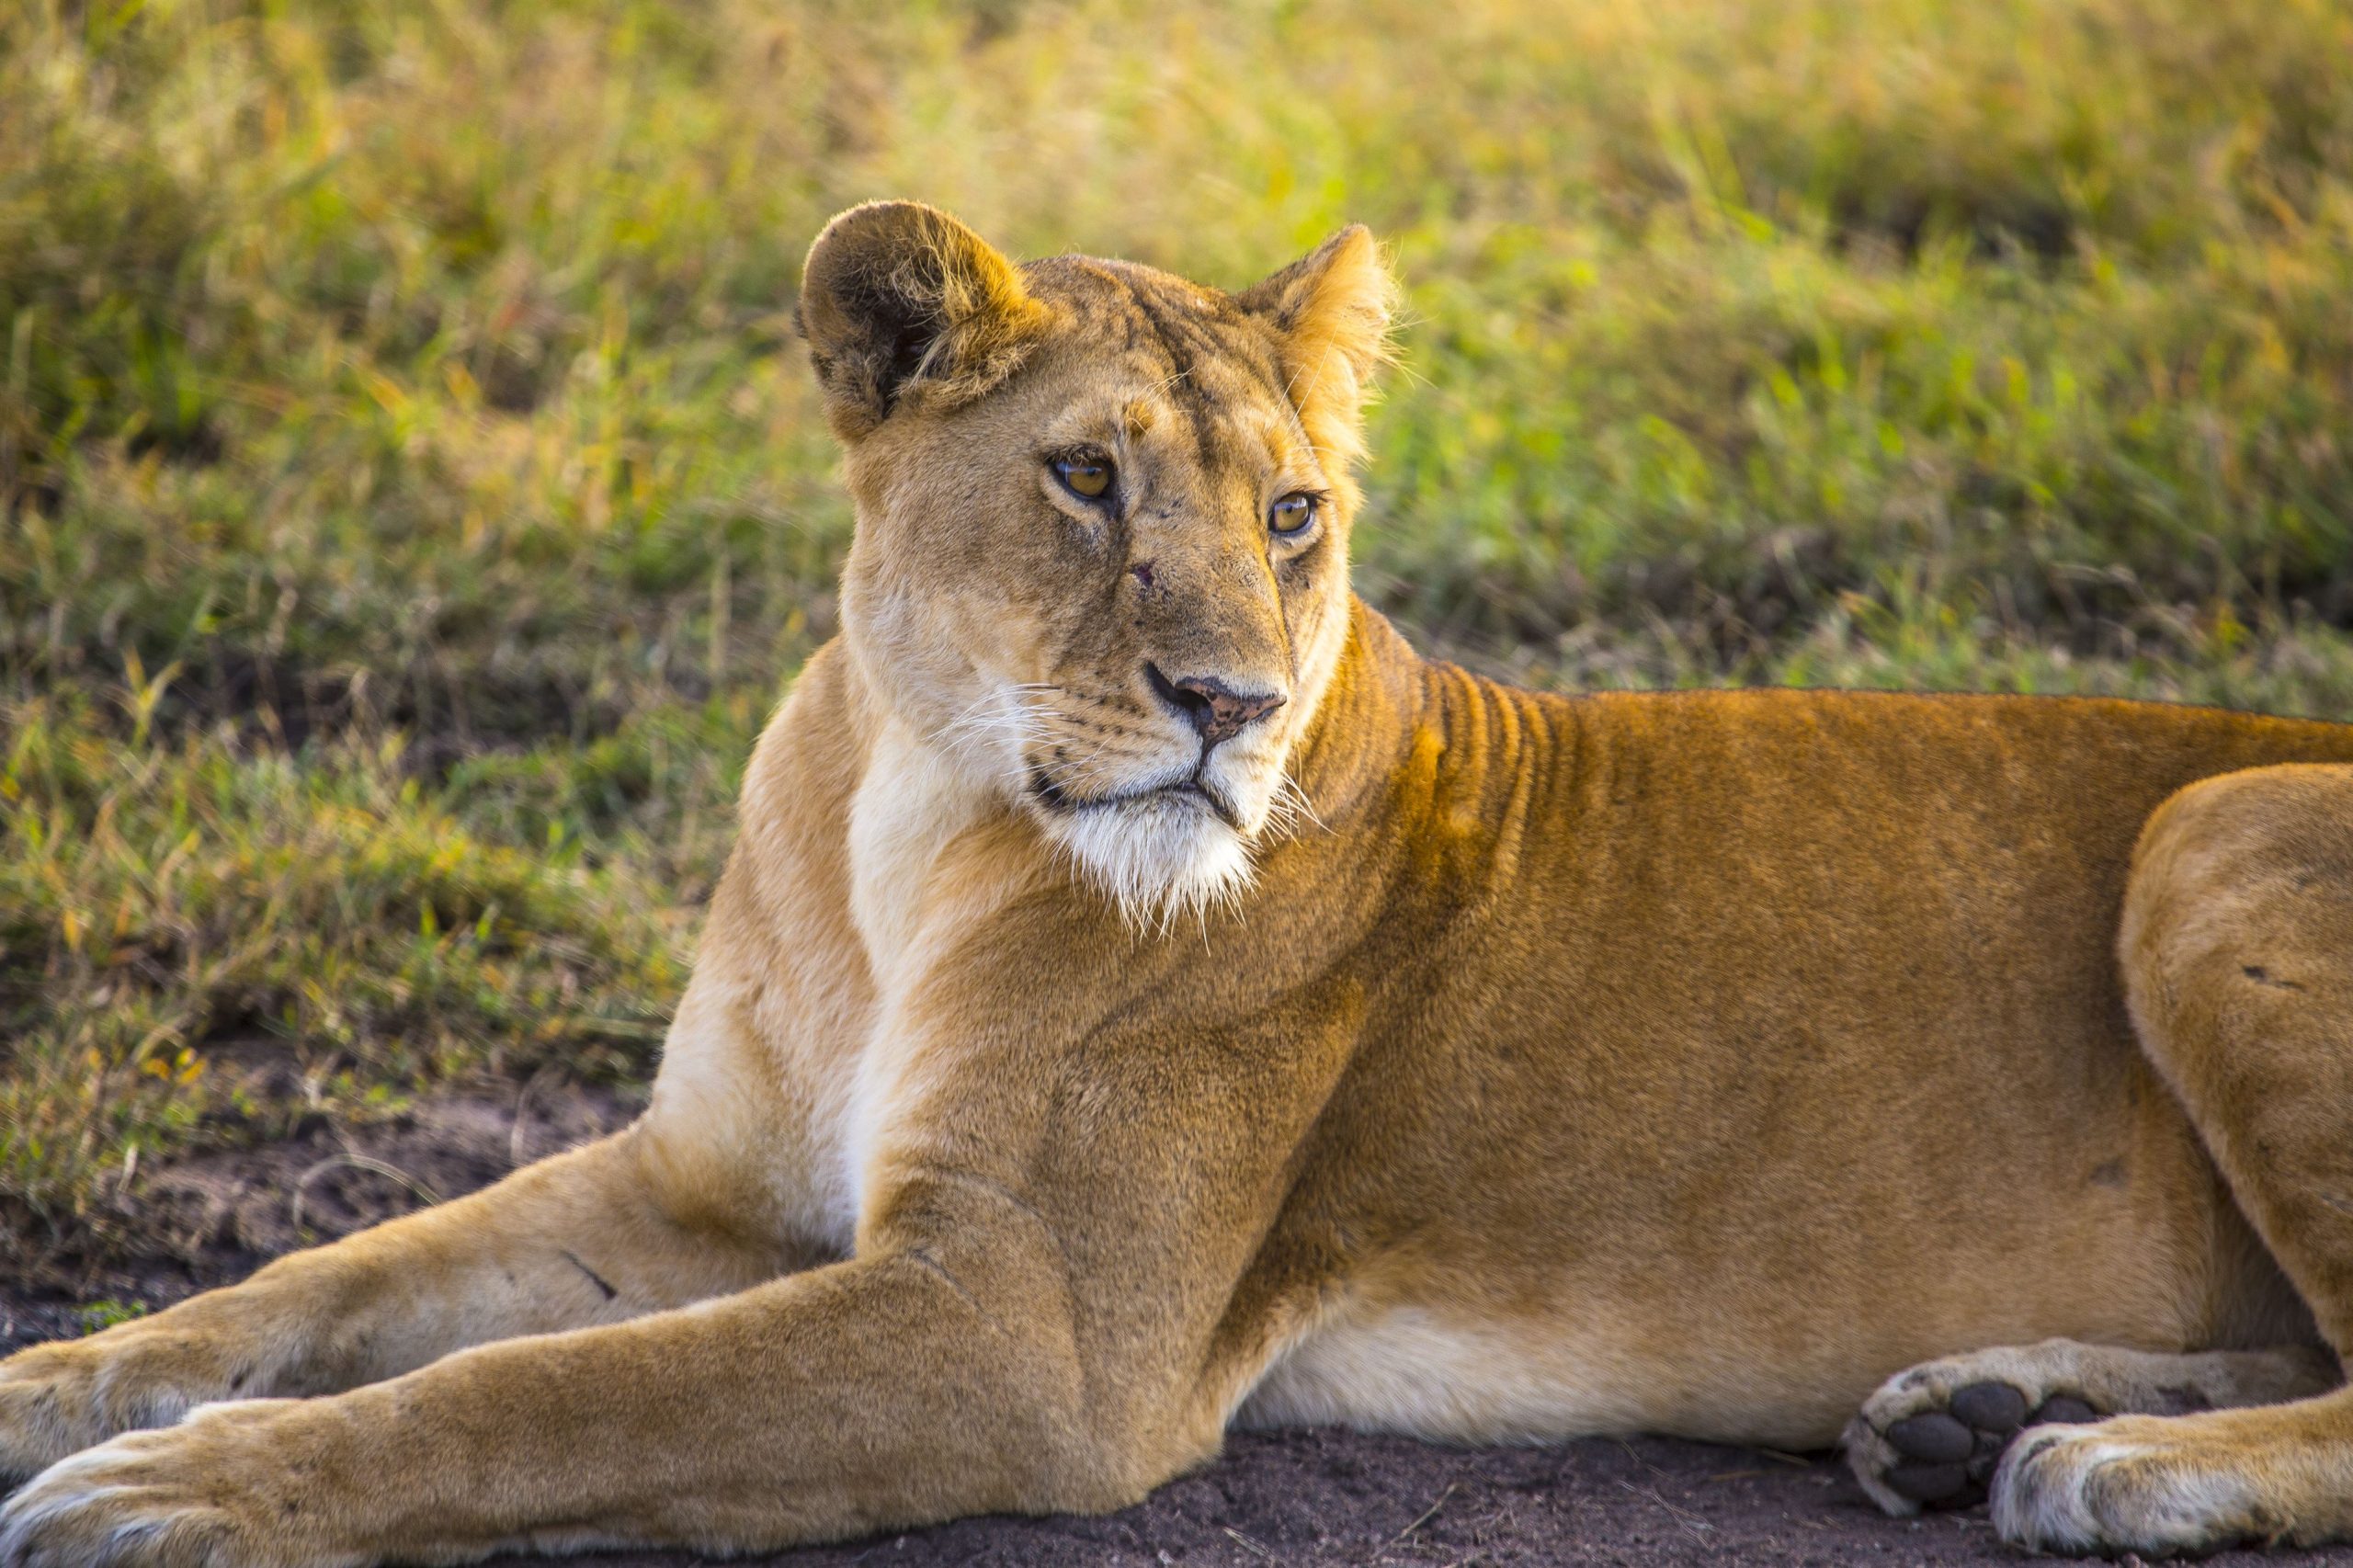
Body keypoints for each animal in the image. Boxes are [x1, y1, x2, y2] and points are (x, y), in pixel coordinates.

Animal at [6, 200, 2353, 1566]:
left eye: (1293, 512)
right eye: (1080, 476)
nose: (1227, 699)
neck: (912, 812)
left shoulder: (1027, 1332)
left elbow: (542, 1394)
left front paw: (191, 1489)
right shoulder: (705, 1187)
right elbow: (333, 1279)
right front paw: (69, 1383)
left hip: (2212, 826)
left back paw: (2096, 1469)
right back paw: (1980, 1412)